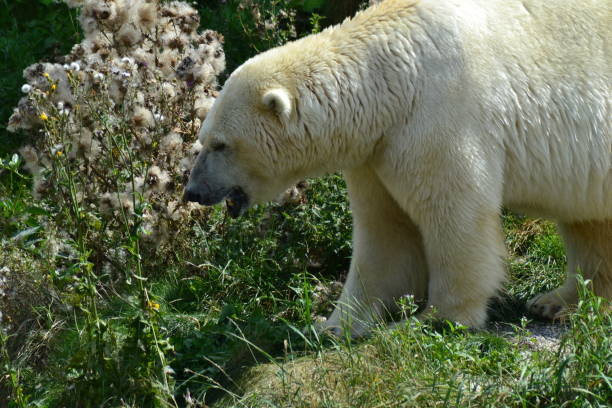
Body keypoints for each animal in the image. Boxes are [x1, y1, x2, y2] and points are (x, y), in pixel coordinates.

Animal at [183, 0, 612, 334]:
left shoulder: (438, 115)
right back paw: (560, 301)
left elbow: (453, 213)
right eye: (202, 139)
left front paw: (435, 319)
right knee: (589, 224)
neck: (392, 78)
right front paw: (335, 325)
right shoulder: (376, 149)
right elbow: (384, 230)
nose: (193, 192)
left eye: (220, 144)